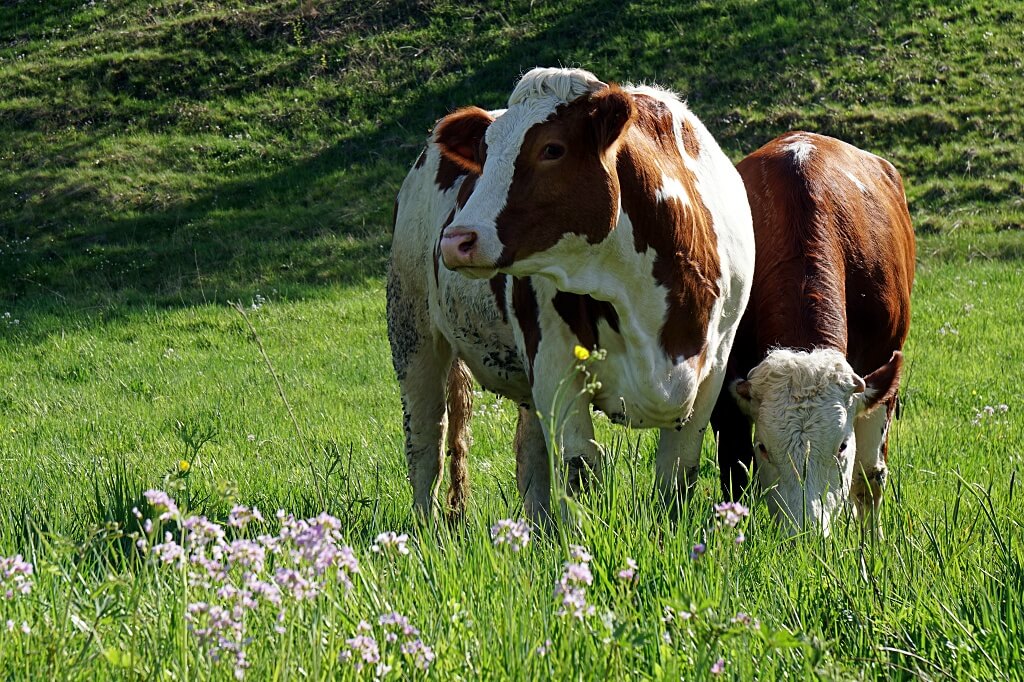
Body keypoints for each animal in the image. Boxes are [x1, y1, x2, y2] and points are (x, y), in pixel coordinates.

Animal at [387, 67, 757, 520]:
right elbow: (579, 466)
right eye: (484, 152)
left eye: (553, 149)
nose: (456, 240)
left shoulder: (713, 366)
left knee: (529, 456)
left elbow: (677, 471)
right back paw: (428, 528)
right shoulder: (553, 358)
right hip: (412, 328)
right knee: (426, 444)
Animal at [712, 131, 913, 536]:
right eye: (764, 447)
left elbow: (869, 476)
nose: (803, 533)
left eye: (841, 447)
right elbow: (733, 471)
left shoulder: (884, 366)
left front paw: (870, 546)